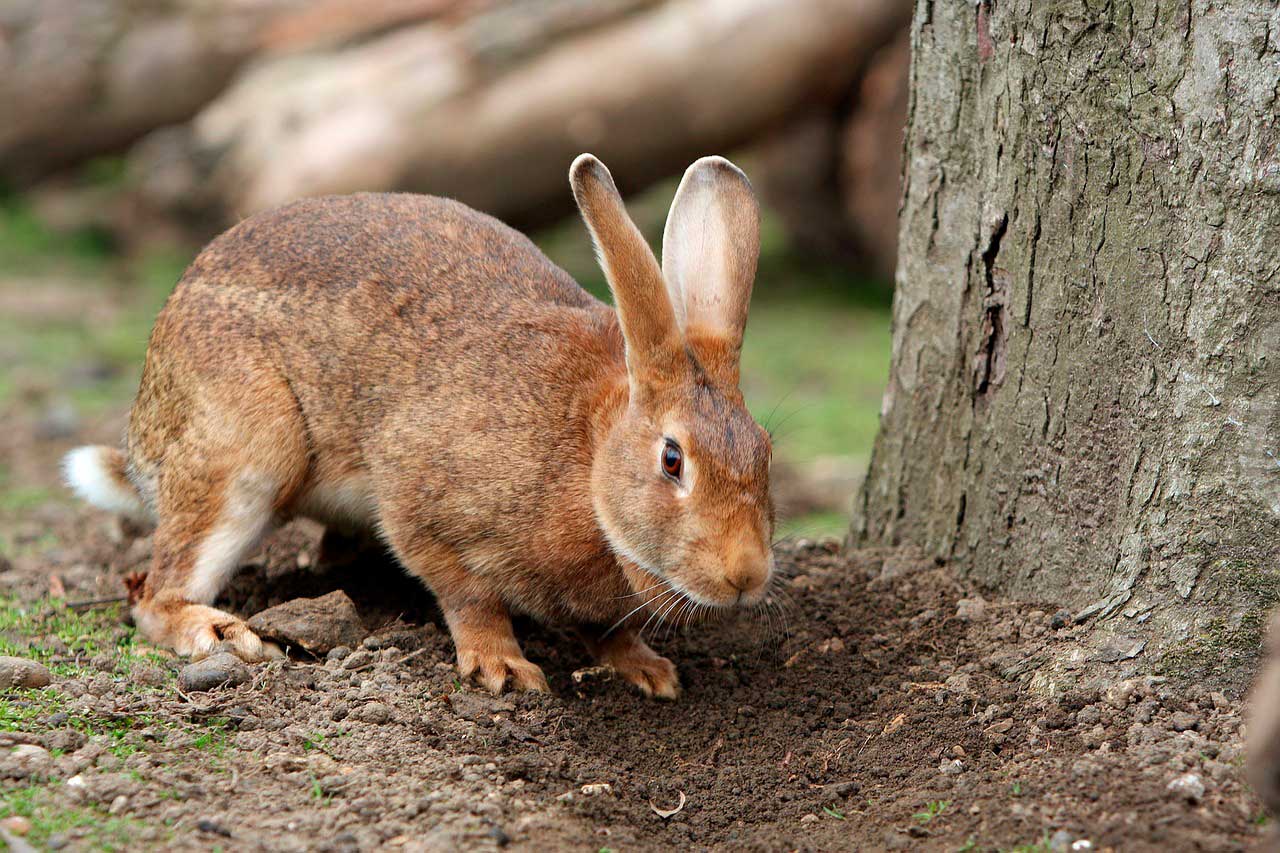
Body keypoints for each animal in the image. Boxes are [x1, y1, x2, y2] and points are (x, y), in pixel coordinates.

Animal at [64, 153, 773, 696]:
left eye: (765, 452)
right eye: (673, 459)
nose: (747, 575)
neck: (590, 454)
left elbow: (609, 630)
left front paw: (649, 672)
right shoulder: (421, 502)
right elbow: (468, 596)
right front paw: (504, 668)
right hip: (245, 454)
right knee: (155, 594)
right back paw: (219, 632)